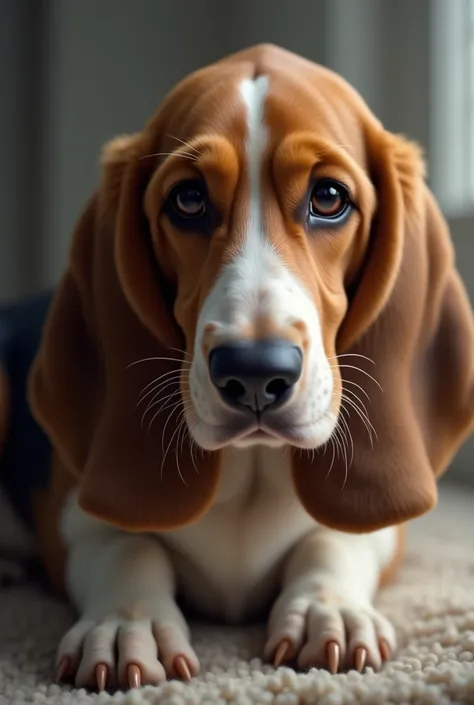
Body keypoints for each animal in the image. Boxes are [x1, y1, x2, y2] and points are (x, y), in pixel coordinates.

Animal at [0, 45, 474, 692]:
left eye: (329, 197)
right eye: (188, 200)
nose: (253, 372)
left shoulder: (376, 528)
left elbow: (333, 541)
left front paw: (329, 610)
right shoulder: (73, 514)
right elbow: (127, 547)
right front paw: (129, 623)